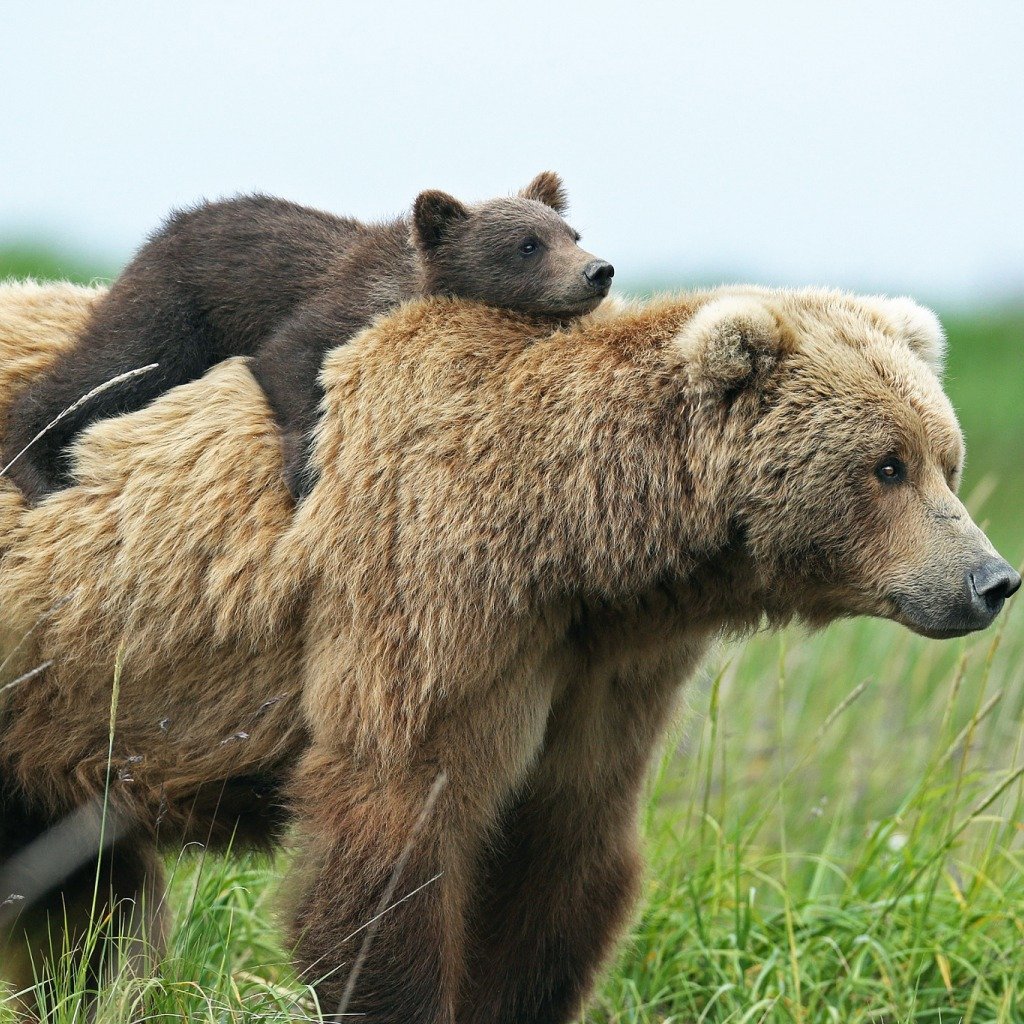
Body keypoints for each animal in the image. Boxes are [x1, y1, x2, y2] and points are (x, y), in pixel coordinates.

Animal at [0, 175, 610, 503]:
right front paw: (305, 469)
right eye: (527, 244)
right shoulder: (335, 305)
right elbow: (288, 359)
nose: (597, 271)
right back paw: (36, 467)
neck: (406, 282)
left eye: (571, 232)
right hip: (175, 306)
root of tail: (164, 230)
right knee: (109, 367)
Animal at [0, 282, 1015, 1024]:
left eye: (945, 458)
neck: (574, 544)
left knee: (81, 912)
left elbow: (562, 855)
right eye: (886, 466)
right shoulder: (429, 602)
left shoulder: (598, 667)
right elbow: (395, 832)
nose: (990, 579)